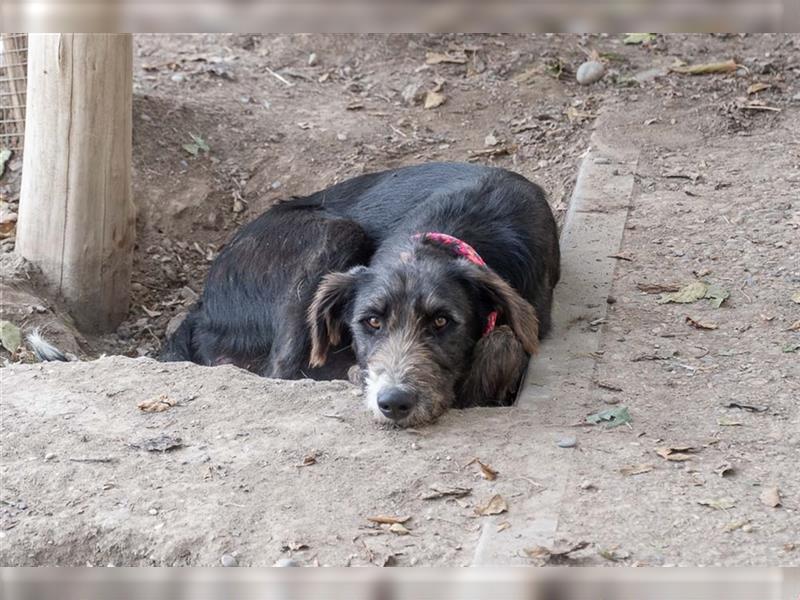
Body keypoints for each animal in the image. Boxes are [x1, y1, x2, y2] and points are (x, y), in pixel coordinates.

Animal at [161, 163, 564, 426]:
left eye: (441, 322)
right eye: (371, 321)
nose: (394, 403)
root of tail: (201, 309)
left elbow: (504, 341)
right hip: (334, 234)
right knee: (282, 369)